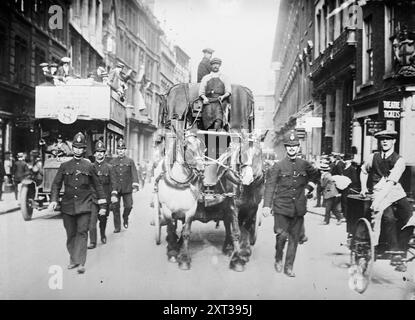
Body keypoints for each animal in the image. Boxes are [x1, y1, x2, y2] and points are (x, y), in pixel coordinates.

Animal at [156, 127, 206, 270]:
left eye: (201, 144)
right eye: (186, 145)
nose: (202, 168)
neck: (179, 181)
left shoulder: (190, 210)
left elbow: (186, 233)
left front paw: (184, 258)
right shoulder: (167, 209)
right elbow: (171, 229)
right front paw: (172, 253)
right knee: (170, 227)